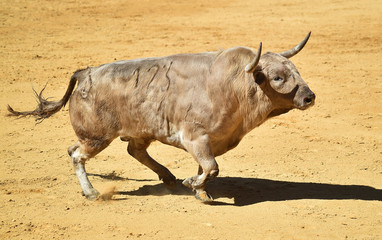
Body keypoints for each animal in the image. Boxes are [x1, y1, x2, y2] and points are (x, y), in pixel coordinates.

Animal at [8, 31, 316, 201]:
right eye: (278, 77)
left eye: (296, 71)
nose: (309, 97)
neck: (233, 85)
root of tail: (87, 72)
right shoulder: (195, 138)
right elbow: (211, 167)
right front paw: (195, 187)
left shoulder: (207, 142)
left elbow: (205, 167)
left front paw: (198, 189)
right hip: (97, 137)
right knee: (77, 154)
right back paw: (93, 193)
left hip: (134, 131)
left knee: (130, 150)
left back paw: (166, 178)